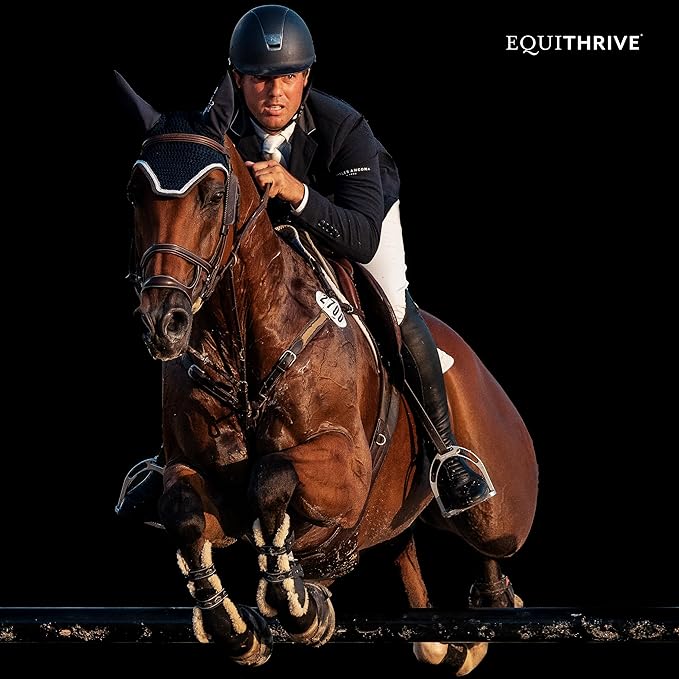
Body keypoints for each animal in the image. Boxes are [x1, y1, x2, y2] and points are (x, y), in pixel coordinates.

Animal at [114, 70, 539, 676]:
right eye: (134, 195)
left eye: (214, 196)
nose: (163, 323)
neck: (242, 346)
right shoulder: (201, 479)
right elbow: (184, 512)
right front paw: (237, 626)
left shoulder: (347, 469)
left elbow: (272, 478)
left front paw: (293, 601)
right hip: (393, 520)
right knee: (406, 561)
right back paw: (450, 641)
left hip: (500, 510)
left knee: (487, 540)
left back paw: (488, 594)